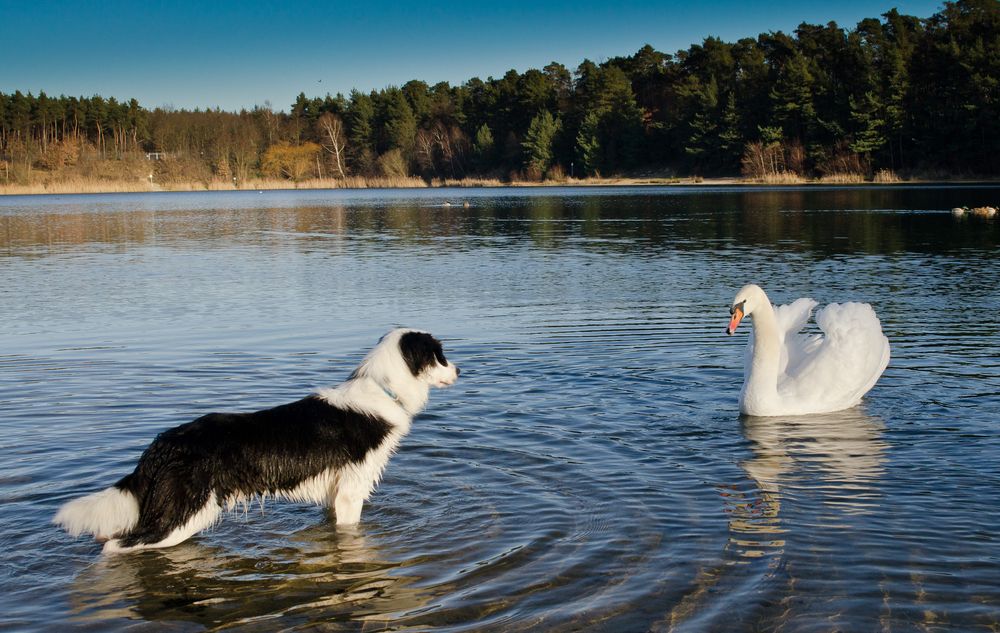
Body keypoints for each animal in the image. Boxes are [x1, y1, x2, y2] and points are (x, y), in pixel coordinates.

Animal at [54, 328, 460, 552]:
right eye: (440, 355)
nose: (460, 370)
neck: (382, 389)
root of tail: (163, 444)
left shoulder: (333, 496)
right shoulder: (350, 492)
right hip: (185, 513)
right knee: (119, 546)